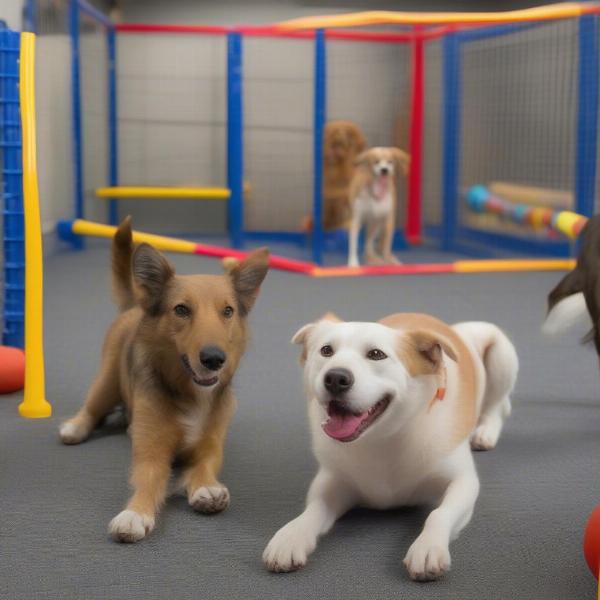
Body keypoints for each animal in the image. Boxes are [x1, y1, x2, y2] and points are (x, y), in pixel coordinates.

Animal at [59, 219, 270, 544]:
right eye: (181, 309)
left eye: (228, 311)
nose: (214, 359)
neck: (193, 394)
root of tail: (135, 305)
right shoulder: (151, 452)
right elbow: (149, 479)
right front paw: (136, 512)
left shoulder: (211, 446)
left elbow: (205, 466)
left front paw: (205, 486)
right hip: (106, 382)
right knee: (92, 409)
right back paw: (76, 427)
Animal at [262, 314, 516, 580]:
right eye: (326, 350)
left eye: (376, 354)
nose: (335, 378)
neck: (383, 439)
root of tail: (460, 331)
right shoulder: (332, 481)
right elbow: (312, 510)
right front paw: (290, 536)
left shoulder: (463, 482)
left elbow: (439, 513)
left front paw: (428, 546)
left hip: (501, 355)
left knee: (499, 405)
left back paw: (486, 432)